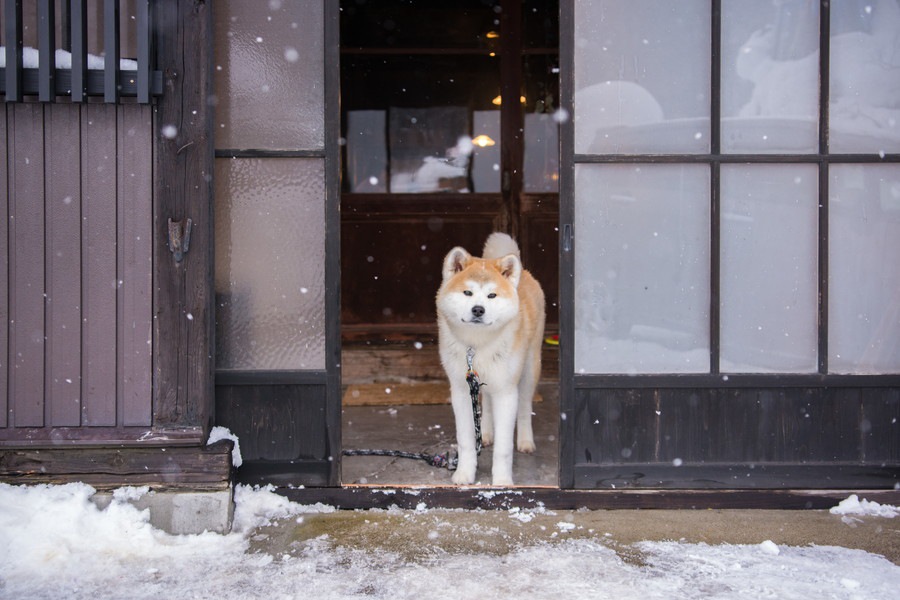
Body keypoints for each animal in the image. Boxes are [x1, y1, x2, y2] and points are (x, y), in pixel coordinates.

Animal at [434, 232, 540, 486]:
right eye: (467, 293)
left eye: (492, 295)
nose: (478, 309)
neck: (477, 346)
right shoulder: (461, 390)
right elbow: (465, 440)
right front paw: (464, 474)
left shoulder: (506, 391)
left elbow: (504, 448)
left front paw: (502, 481)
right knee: (487, 406)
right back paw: (487, 433)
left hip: (528, 370)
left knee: (525, 407)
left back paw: (525, 441)